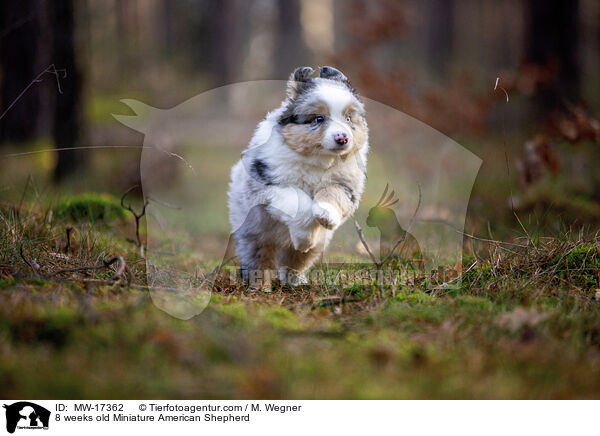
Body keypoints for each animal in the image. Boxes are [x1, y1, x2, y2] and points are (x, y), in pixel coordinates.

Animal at [227, 66, 368, 288]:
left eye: (348, 118)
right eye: (319, 119)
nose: (342, 138)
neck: (319, 161)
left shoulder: (346, 184)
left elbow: (333, 193)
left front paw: (325, 215)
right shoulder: (272, 185)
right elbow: (299, 202)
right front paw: (303, 237)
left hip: (317, 245)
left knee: (295, 259)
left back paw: (296, 281)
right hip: (254, 232)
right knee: (258, 258)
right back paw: (260, 286)